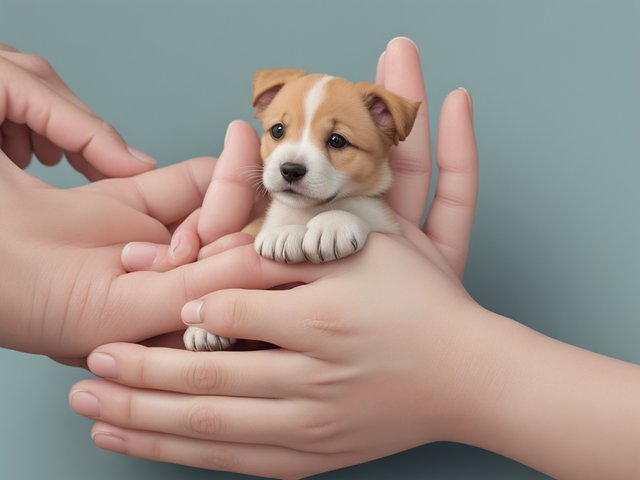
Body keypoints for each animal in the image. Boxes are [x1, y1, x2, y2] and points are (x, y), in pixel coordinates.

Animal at [182, 68, 420, 352]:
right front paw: (202, 325)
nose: (290, 169)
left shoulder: (384, 224)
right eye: (278, 130)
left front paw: (332, 226)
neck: (307, 212)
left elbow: (355, 212)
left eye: (337, 140)